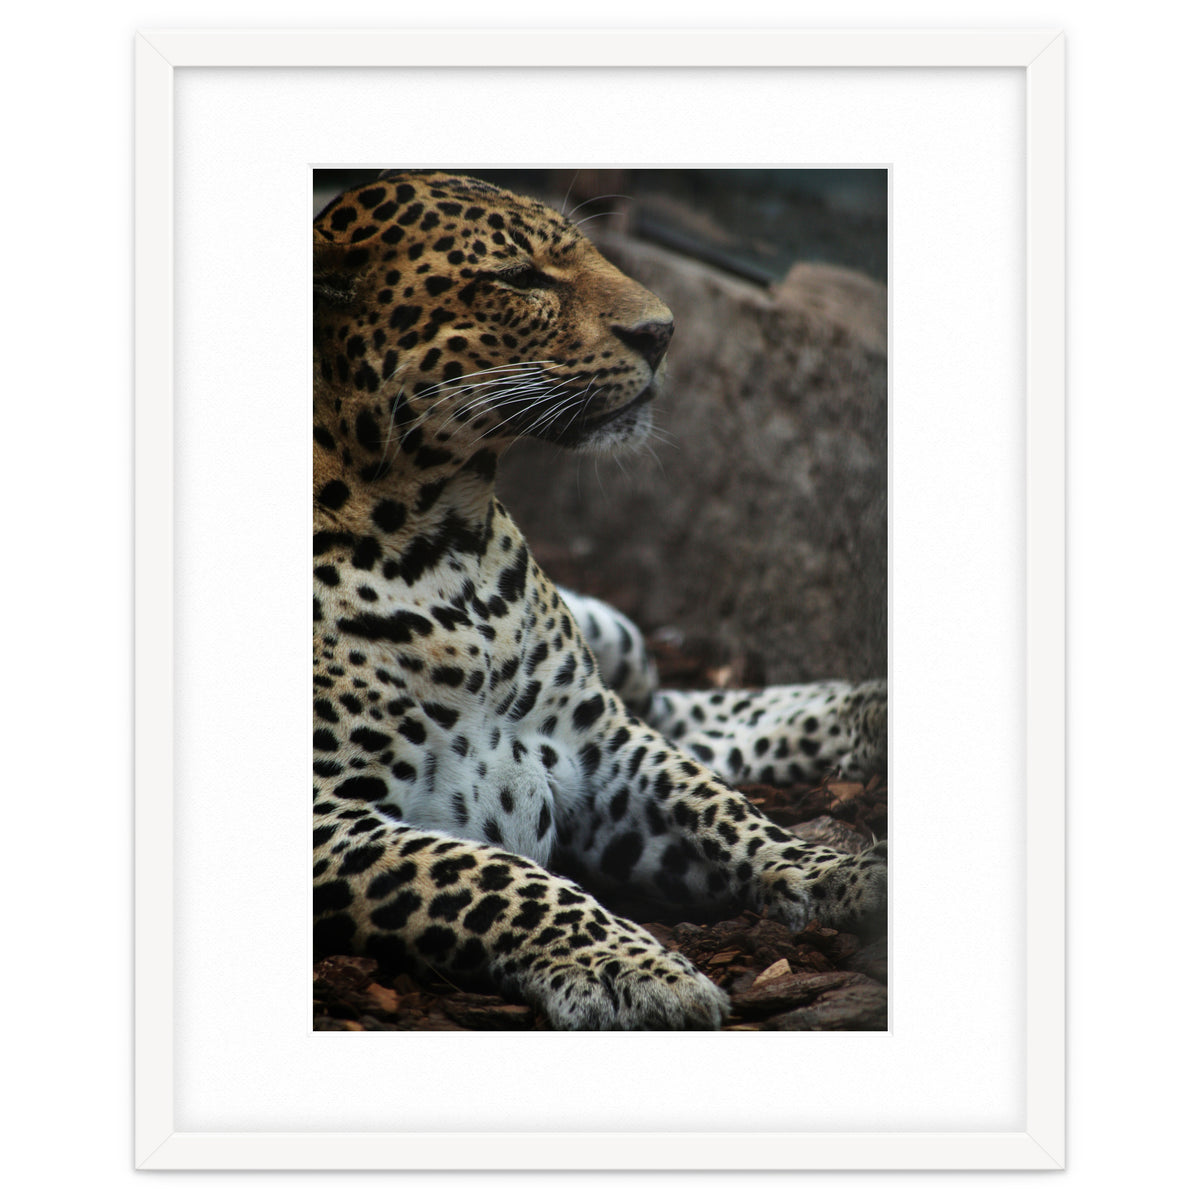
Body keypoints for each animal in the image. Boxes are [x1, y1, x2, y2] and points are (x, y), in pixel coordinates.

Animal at [313, 171, 887, 1030]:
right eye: (519, 278)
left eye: (583, 252)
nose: (664, 332)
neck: (444, 543)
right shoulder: (328, 821)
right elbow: (493, 877)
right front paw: (634, 969)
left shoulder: (598, 742)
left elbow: (720, 808)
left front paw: (840, 874)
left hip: (618, 649)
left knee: (678, 711)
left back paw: (869, 711)